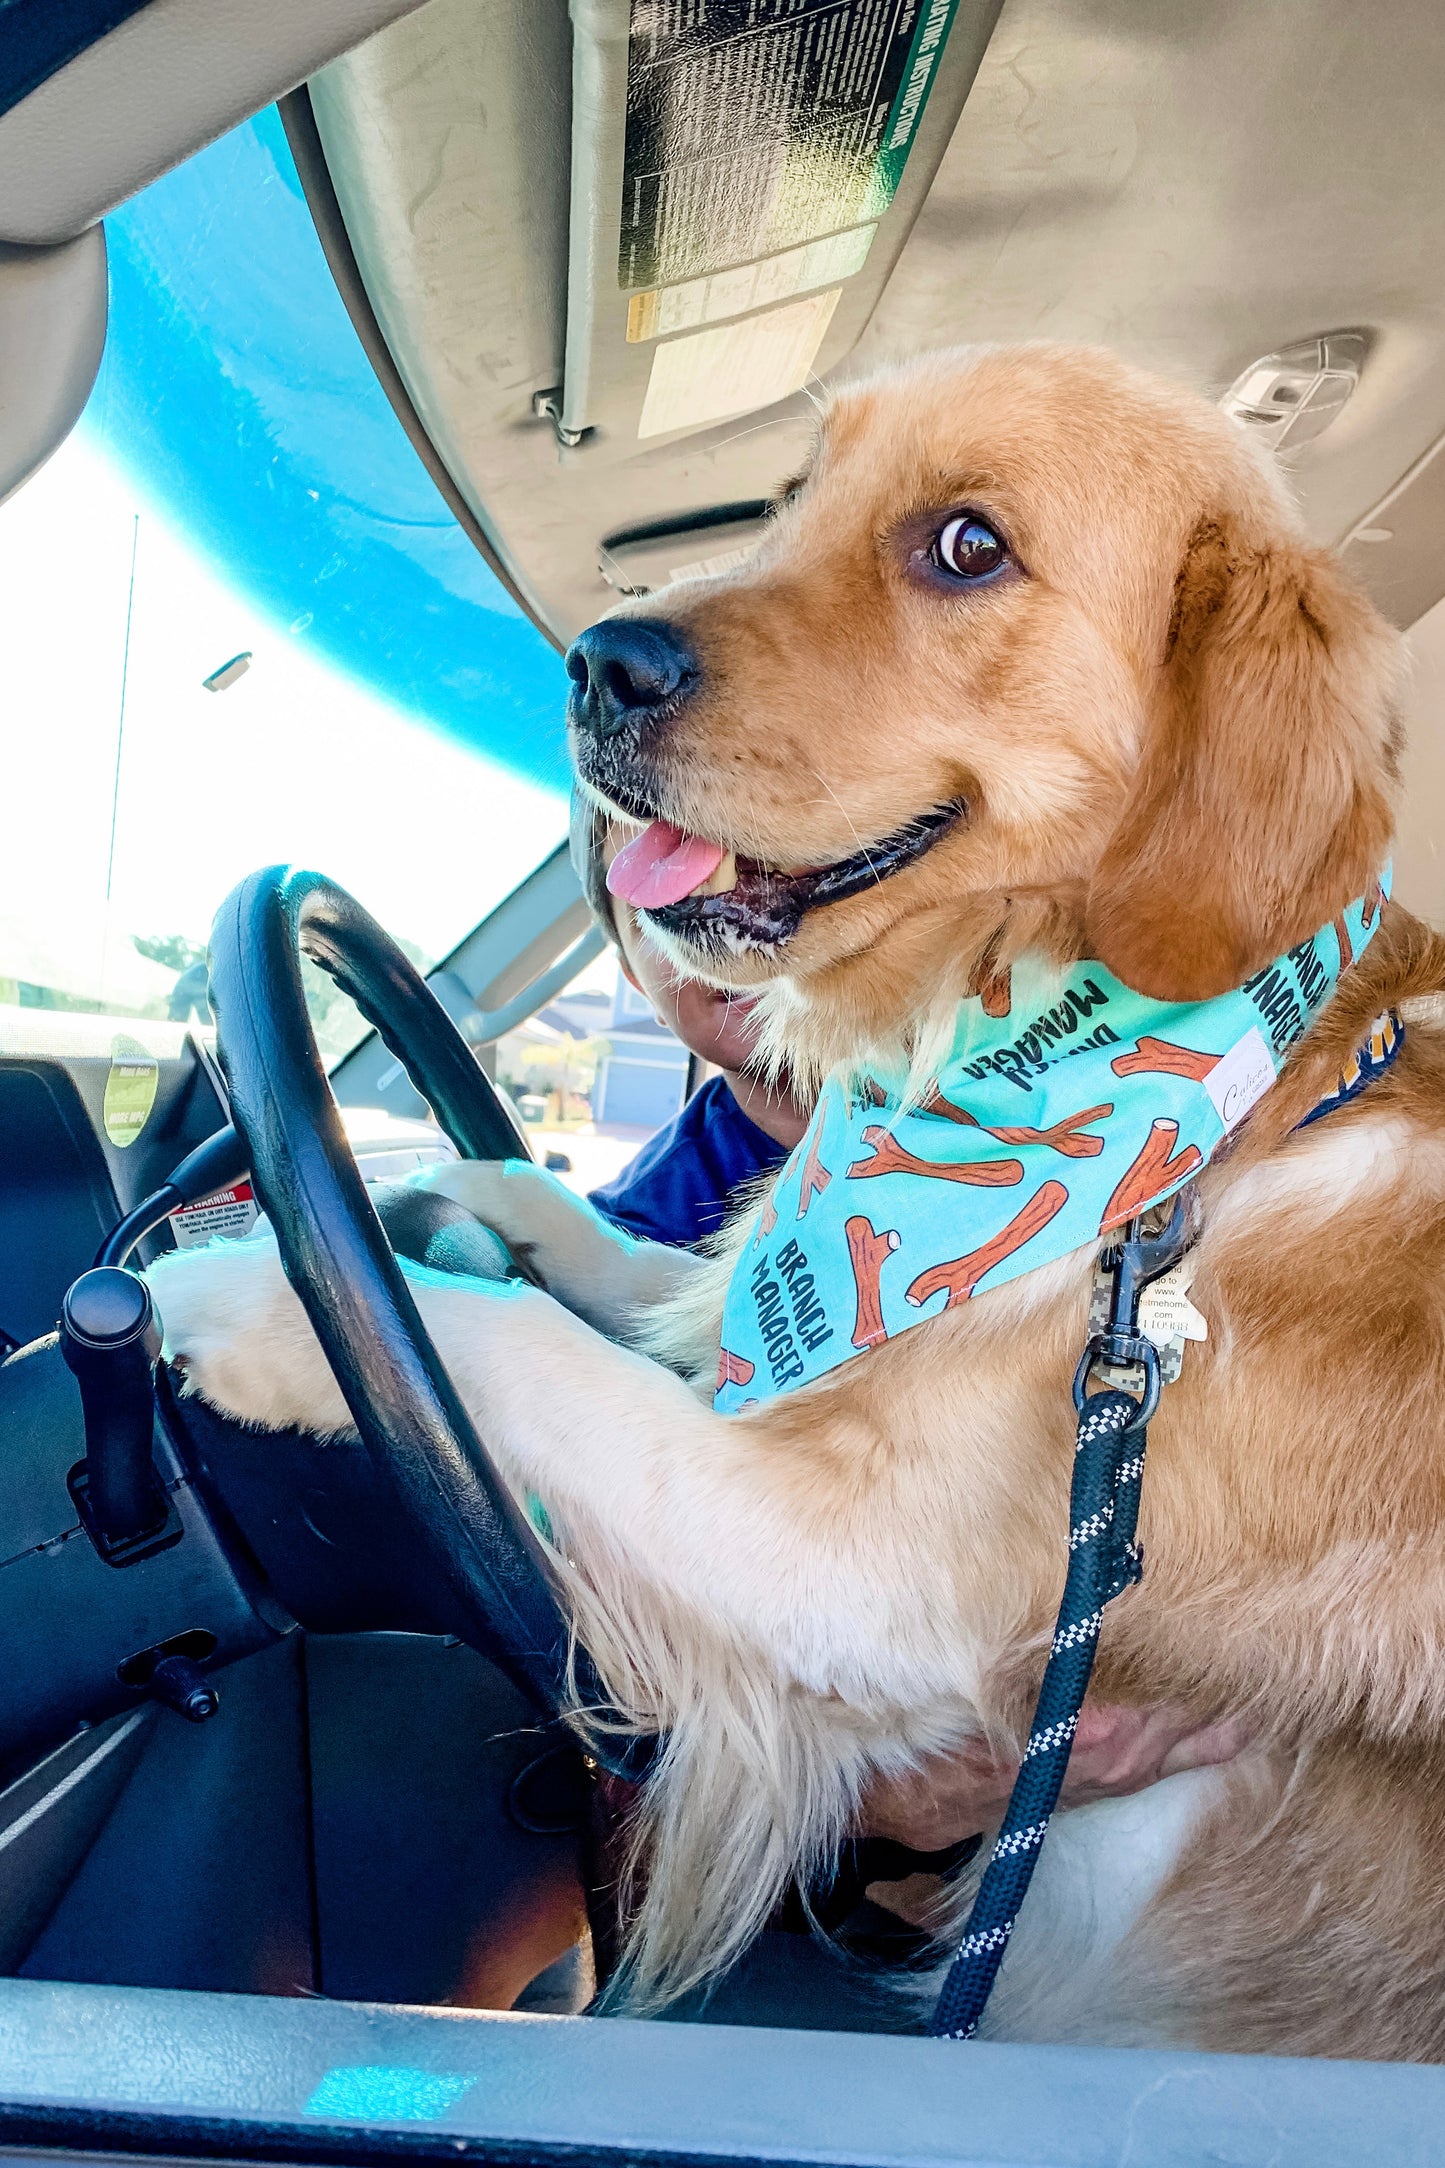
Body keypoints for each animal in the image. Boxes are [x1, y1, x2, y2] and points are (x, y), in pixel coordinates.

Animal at [147, 346, 1445, 2055]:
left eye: (966, 545)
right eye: (792, 495)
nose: (595, 665)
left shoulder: (863, 1576)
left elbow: (531, 1354)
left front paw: (253, 1297)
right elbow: (631, 1265)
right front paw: (440, 1182)